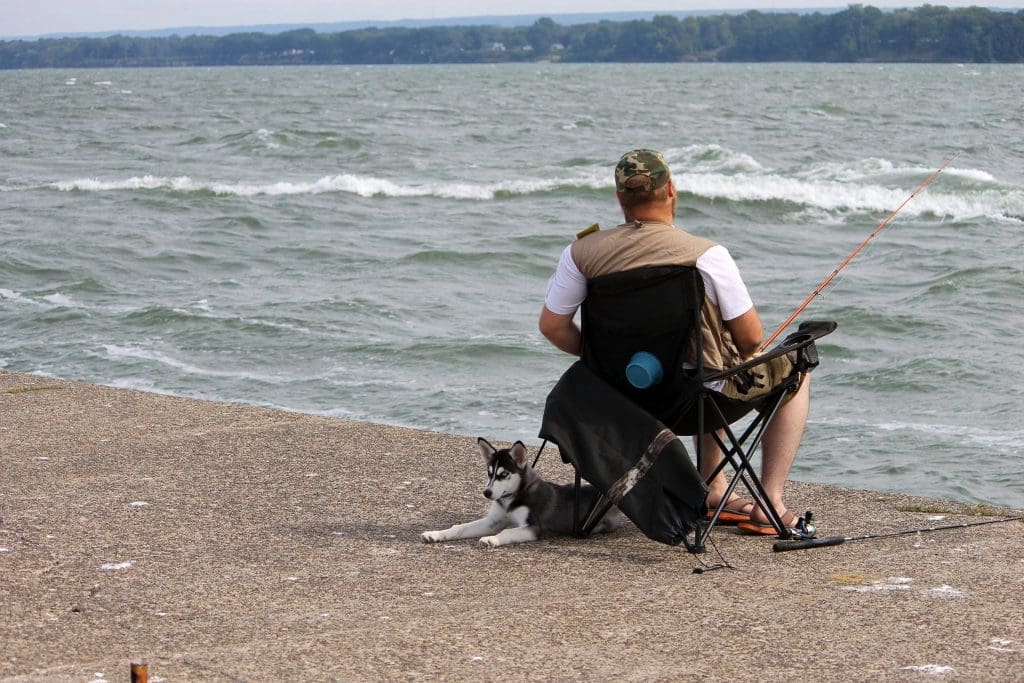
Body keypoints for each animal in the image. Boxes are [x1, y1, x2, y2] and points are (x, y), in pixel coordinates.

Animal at [421, 440, 622, 548]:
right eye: (489, 473)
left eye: (504, 474)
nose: (487, 493)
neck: (513, 497)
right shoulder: (493, 520)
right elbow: (460, 527)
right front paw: (435, 534)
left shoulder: (533, 527)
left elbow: (507, 531)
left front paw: (492, 538)